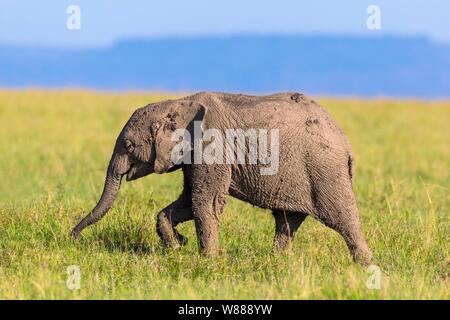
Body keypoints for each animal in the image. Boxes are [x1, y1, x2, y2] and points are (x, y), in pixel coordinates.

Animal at [70, 91, 372, 264]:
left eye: (129, 145)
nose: (73, 238)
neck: (178, 103)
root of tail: (347, 145)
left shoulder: (212, 146)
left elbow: (206, 201)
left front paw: (209, 261)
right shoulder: (193, 153)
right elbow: (188, 201)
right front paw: (177, 246)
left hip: (325, 170)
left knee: (342, 217)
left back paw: (366, 266)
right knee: (287, 221)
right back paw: (278, 264)